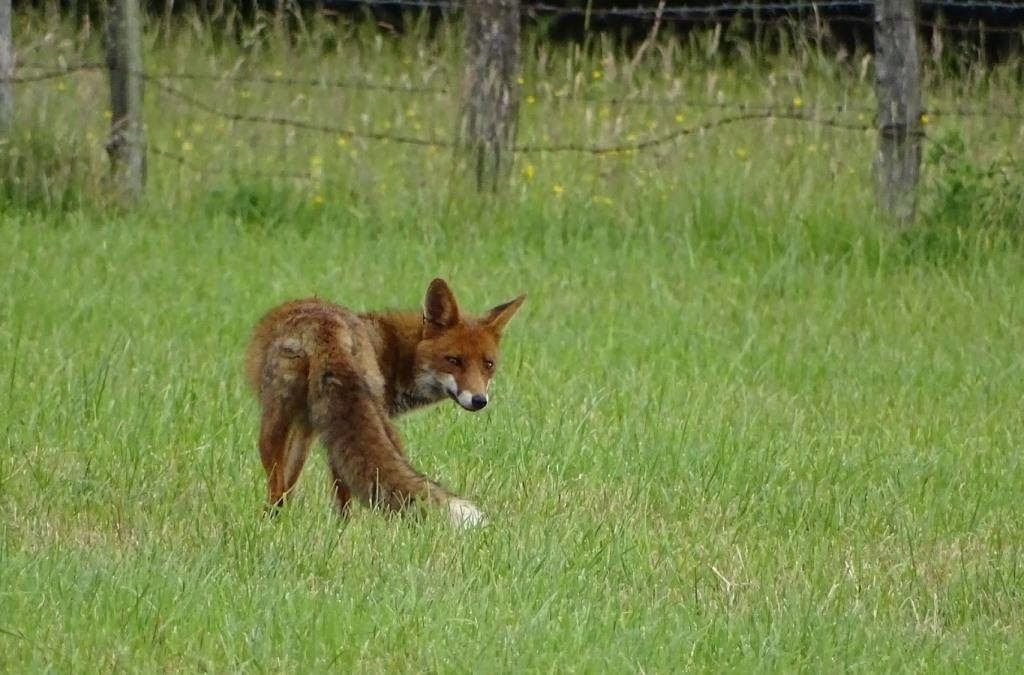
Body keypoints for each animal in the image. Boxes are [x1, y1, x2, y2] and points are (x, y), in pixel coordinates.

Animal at [243, 278, 524, 528]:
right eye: (453, 360)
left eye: (488, 365)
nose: (479, 400)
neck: (396, 352)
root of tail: (329, 327)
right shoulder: (309, 427)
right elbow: (290, 486)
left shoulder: (310, 428)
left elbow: (287, 488)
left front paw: (274, 521)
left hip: (278, 423)